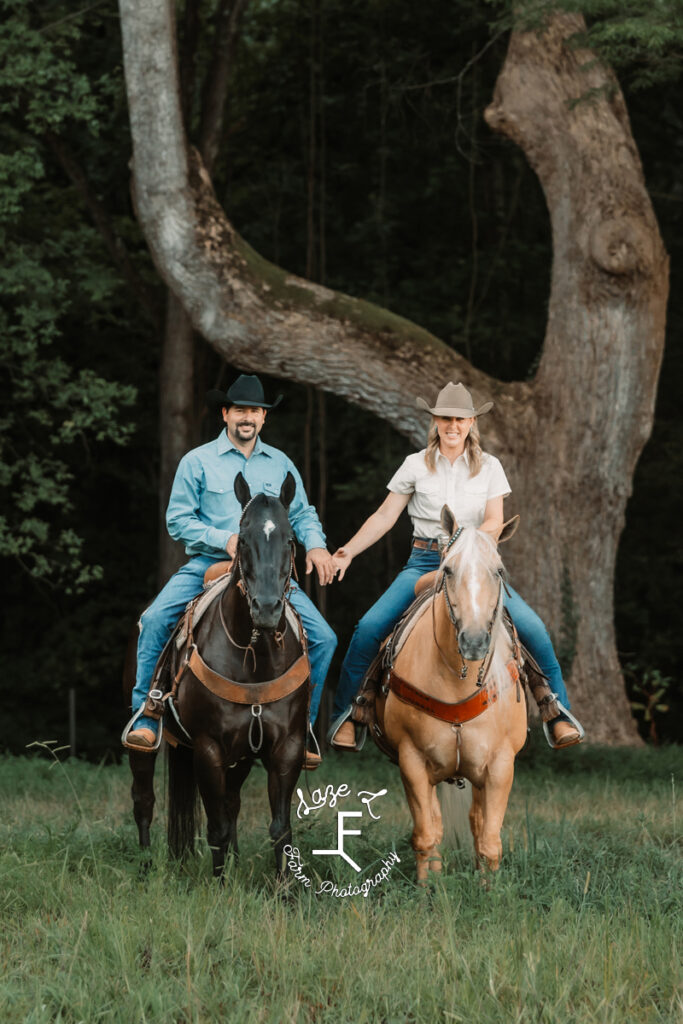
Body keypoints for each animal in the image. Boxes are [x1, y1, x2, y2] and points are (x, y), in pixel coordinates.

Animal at [376, 509, 528, 880]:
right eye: (447, 569)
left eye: (498, 571)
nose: (473, 641)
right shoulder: (412, 761)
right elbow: (426, 834)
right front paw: (428, 886)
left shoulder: (500, 764)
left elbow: (489, 839)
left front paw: (490, 887)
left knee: (476, 821)